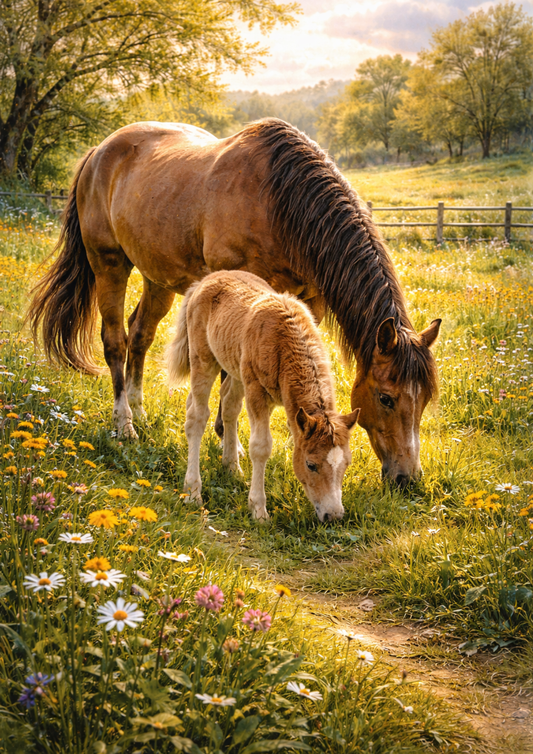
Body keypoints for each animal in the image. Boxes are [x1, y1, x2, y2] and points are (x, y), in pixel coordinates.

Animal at [28, 118, 441, 484]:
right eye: (386, 398)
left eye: (424, 399)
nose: (407, 478)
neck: (280, 202)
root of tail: (98, 151)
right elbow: (231, 381)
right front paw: (231, 445)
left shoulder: (309, 306)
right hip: (109, 264)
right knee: (115, 340)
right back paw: (124, 423)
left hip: (157, 277)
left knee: (139, 335)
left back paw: (140, 410)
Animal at [165, 270, 360, 521]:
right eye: (311, 465)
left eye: (346, 464)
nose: (333, 515)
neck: (284, 342)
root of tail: (204, 280)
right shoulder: (256, 392)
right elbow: (261, 446)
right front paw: (258, 510)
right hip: (203, 360)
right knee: (196, 418)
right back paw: (192, 492)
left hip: (236, 370)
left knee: (228, 405)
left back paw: (232, 467)